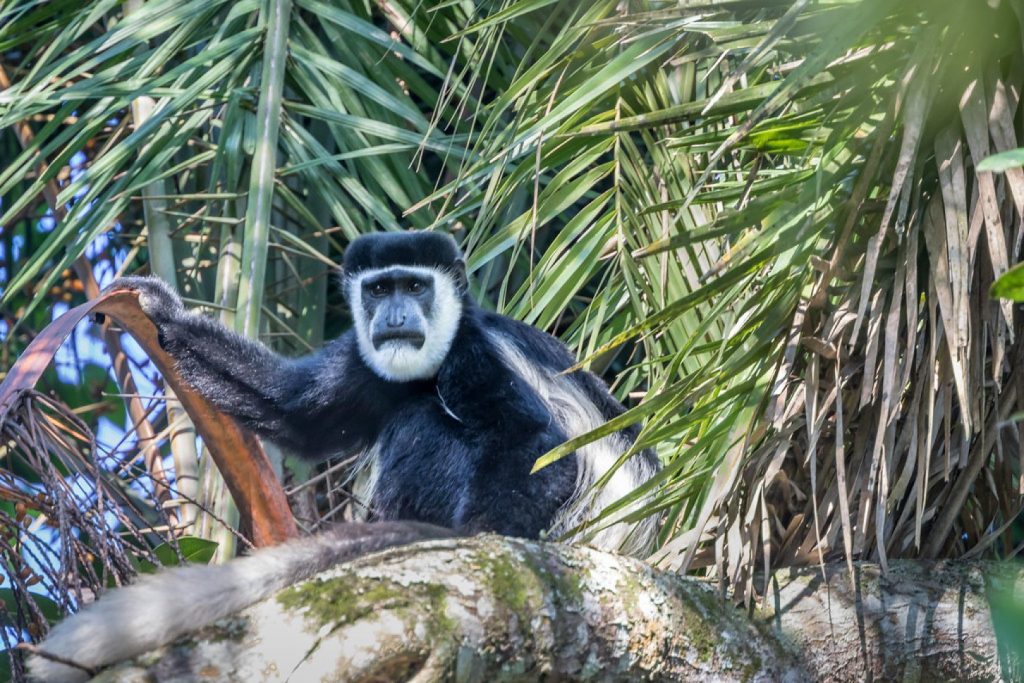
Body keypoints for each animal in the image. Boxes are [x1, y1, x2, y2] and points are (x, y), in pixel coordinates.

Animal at [28, 230, 660, 682]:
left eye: (415, 287)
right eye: (379, 290)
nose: (396, 317)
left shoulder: (473, 353)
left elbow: (540, 448)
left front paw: (475, 541)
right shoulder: (366, 358)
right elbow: (298, 411)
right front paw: (162, 312)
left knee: (424, 418)